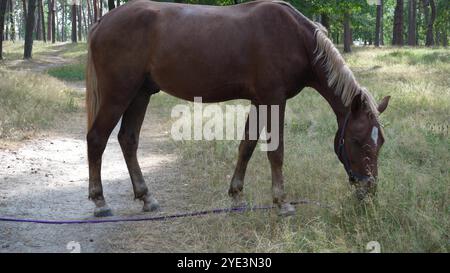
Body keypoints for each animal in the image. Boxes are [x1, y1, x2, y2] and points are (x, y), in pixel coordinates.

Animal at [86, 0, 388, 217]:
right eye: (357, 140)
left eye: (380, 141)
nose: (370, 190)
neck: (295, 37)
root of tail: (103, 21)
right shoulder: (274, 99)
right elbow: (276, 151)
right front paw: (282, 202)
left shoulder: (259, 101)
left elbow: (247, 146)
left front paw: (237, 196)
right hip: (119, 94)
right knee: (97, 139)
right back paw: (100, 202)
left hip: (140, 94)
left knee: (128, 139)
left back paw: (146, 197)